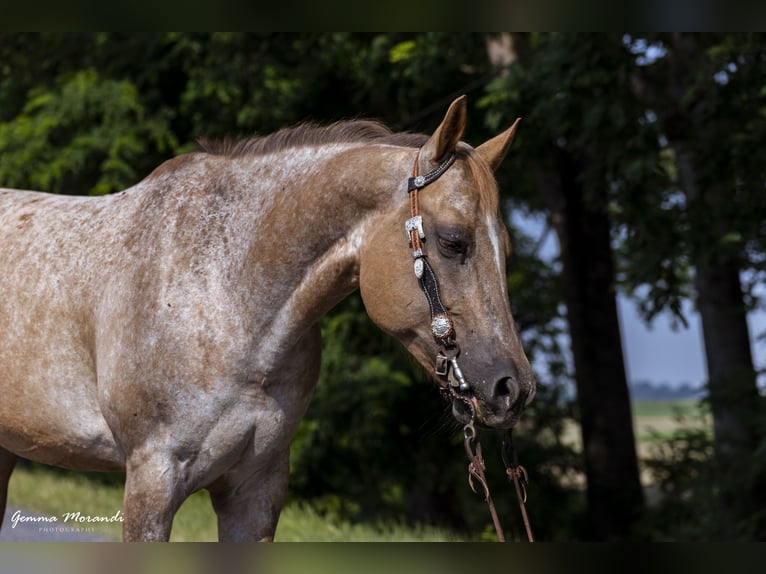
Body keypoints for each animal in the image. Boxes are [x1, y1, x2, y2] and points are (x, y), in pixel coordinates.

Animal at [0, 96, 535, 541]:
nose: (513, 389)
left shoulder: (256, 492)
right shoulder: (152, 481)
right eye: (452, 241)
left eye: (506, 250)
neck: (226, 293)